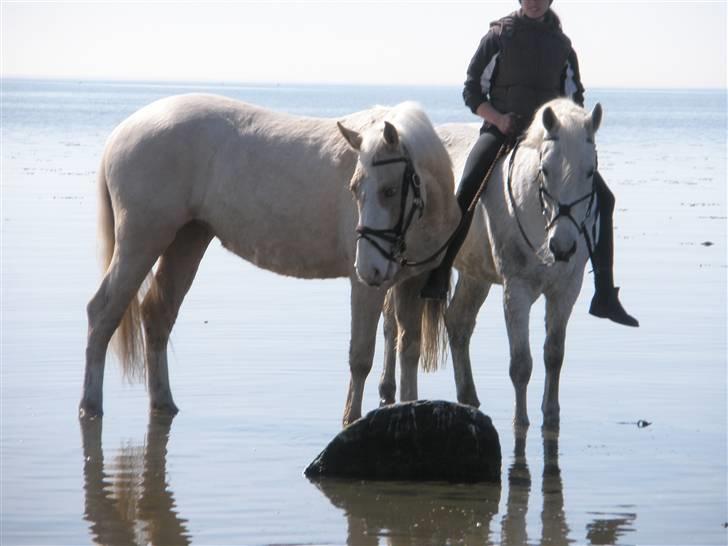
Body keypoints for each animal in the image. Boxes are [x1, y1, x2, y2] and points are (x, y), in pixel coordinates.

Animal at [78, 94, 456, 424]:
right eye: (354, 189)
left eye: (390, 190)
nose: (371, 268)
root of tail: (122, 131)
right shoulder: (366, 288)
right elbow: (361, 356)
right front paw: (350, 420)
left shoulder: (410, 283)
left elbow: (409, 350)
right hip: (141, 241)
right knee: (103, 313)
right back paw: (90, 406)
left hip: (187, 240)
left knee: (157, 314)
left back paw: (163, 403)